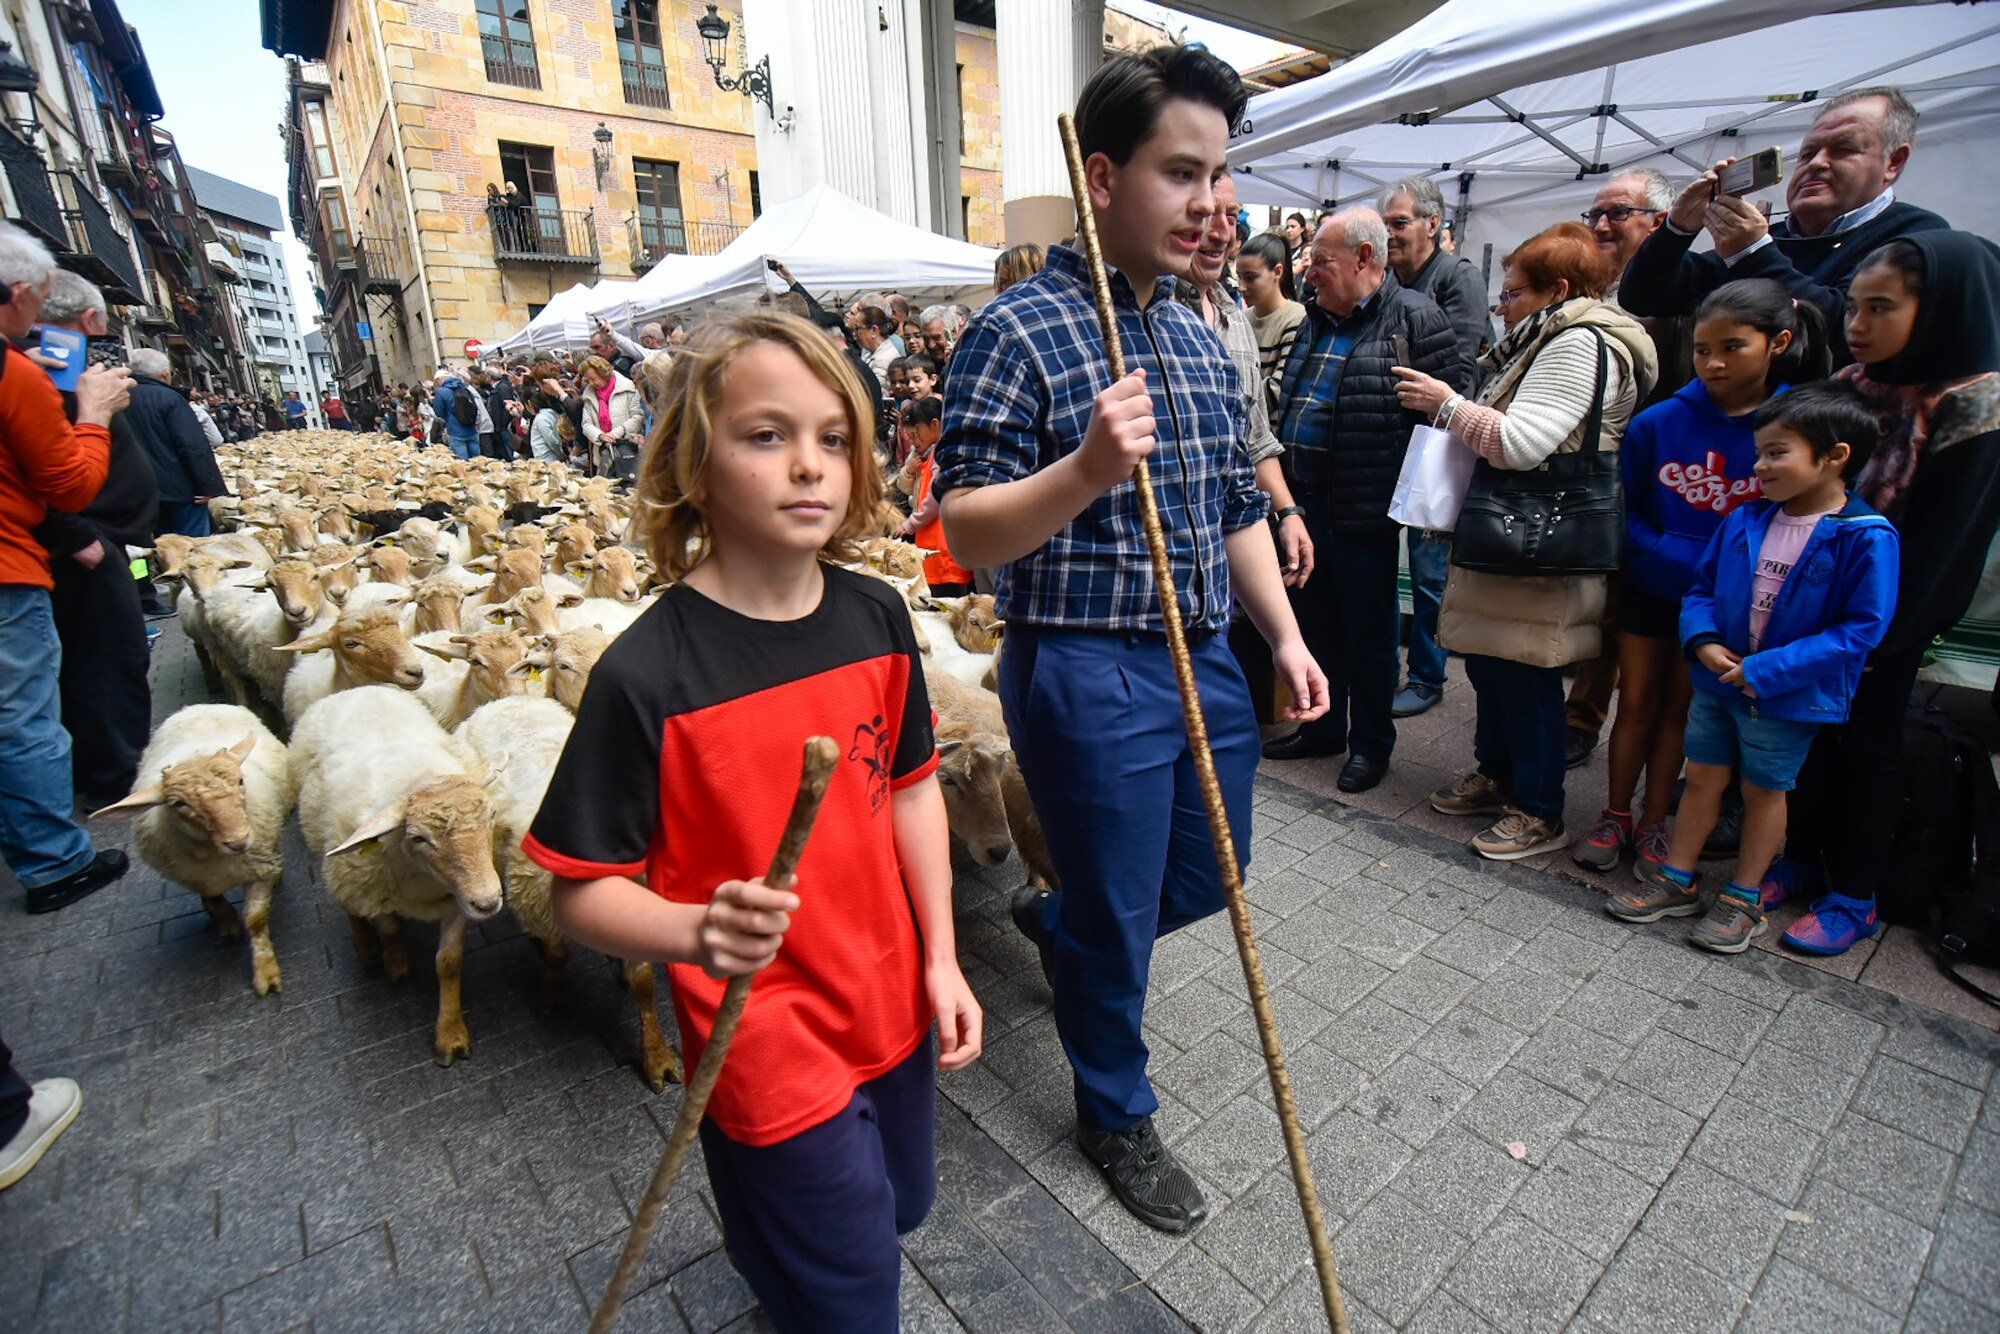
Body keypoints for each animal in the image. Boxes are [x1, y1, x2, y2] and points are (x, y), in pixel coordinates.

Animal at [94, 704, 292, 996]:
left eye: (240, 781)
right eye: (179, 804)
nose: (239, 840)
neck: (217, 857)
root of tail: (199, 706)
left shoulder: (260, 868)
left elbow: (255, 919)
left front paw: (265, 972)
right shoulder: (194, 877)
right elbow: (212, 902)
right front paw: (228, 926)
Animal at [292, 688, 504, 1064]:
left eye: (492, 814)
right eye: (418, 838)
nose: (488, 902)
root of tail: (351, 691)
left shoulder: (457, 901)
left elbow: (449, 962)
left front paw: (451, 1032)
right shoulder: (374, 891)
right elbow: (389, 930)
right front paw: (396, 964)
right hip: (334, 857)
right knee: (348, 905)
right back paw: (364, 946)